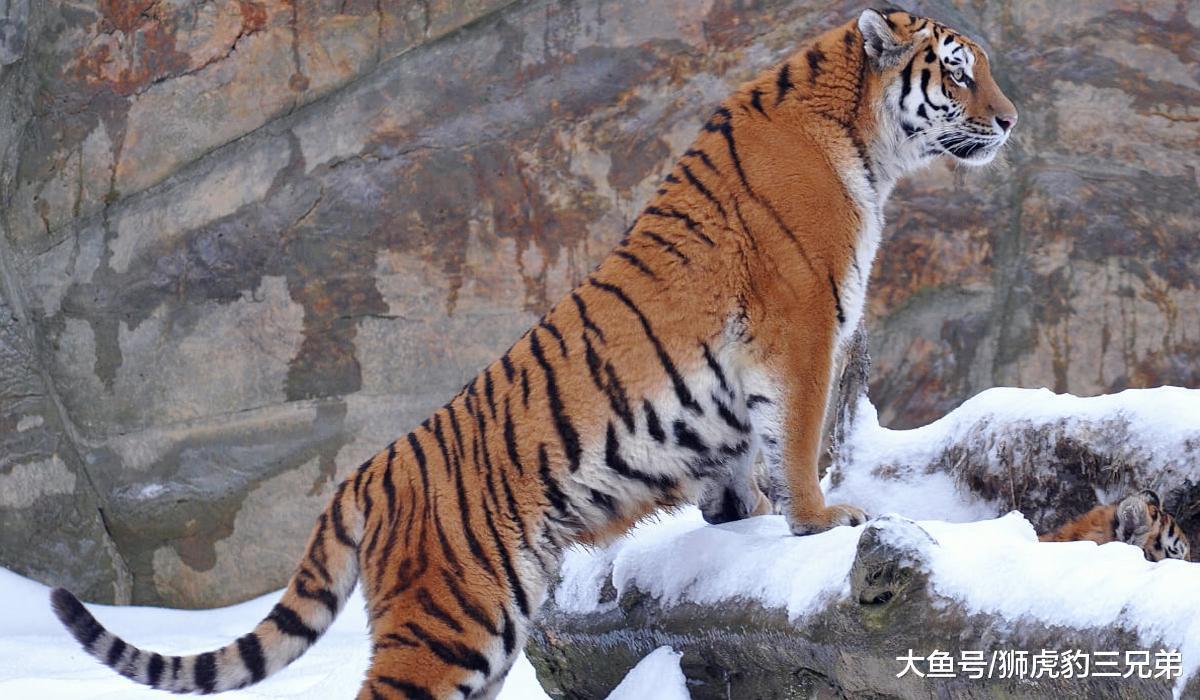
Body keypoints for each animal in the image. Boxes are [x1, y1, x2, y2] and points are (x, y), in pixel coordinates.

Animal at [50, 8, 1016, 699]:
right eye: (959, 70)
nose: (1010, 121)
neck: (865, 136)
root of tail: (369, 472)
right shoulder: (803, 326)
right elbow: (801, 438)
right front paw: (823, 520)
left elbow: (743, 460)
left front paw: (735, 523)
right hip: (450, 621)